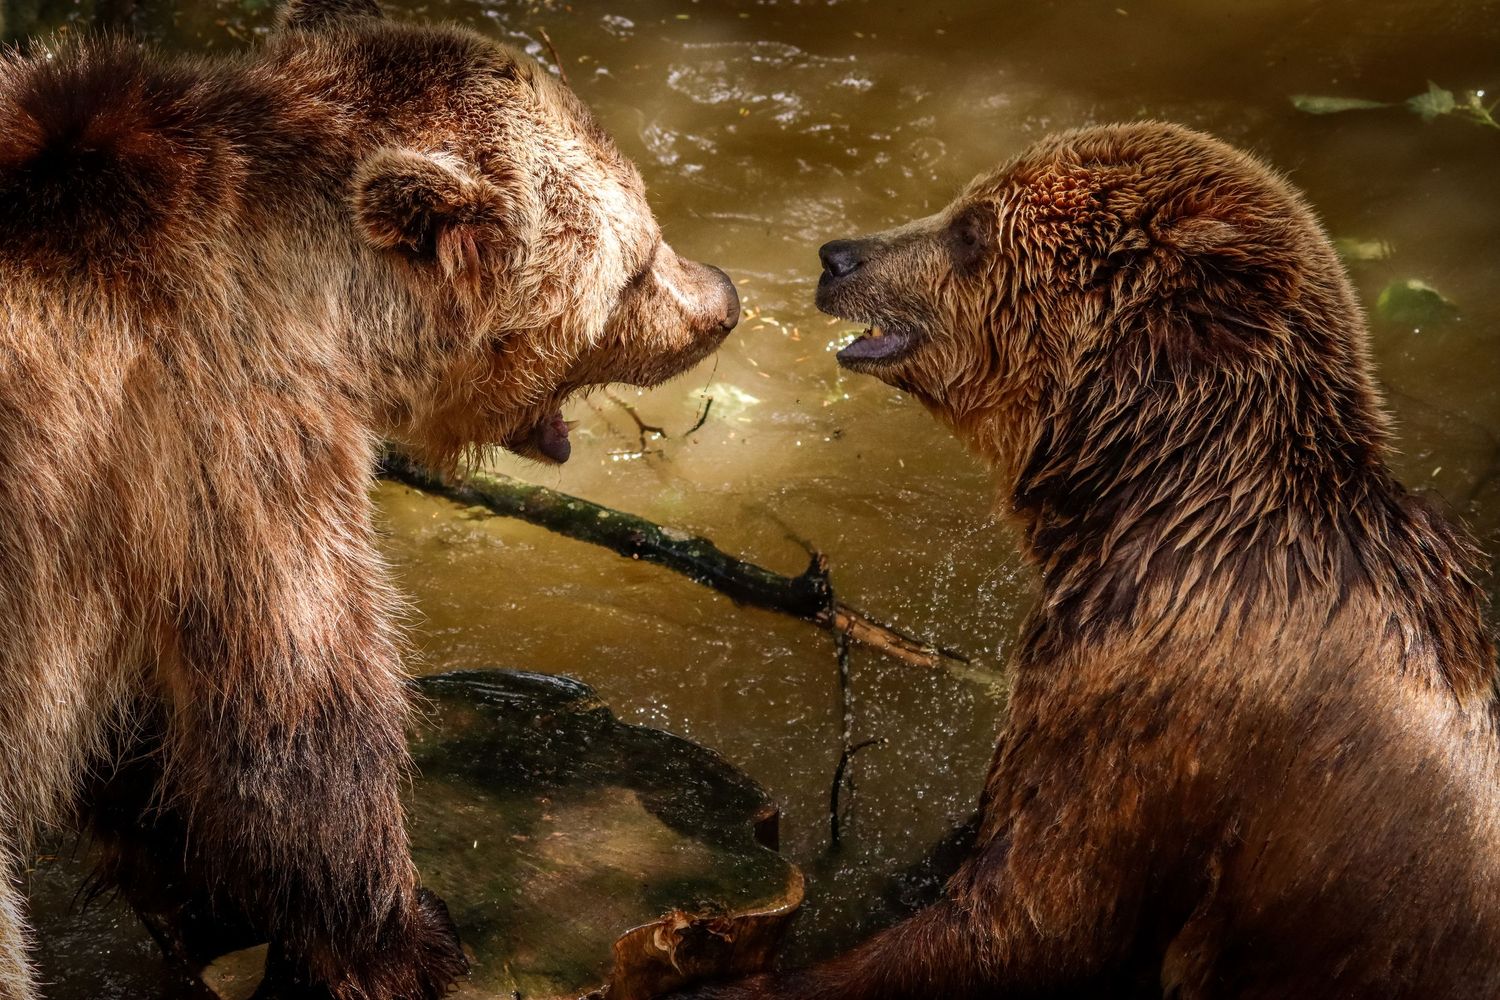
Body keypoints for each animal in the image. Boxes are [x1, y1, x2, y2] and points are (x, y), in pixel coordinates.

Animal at [0, 0, 738, 995]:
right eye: (641, 256)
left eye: (651, 230)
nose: (723, 299)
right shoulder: (227, 438)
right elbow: (298, 721)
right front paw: (409, 939)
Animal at [669, 122, 1500, 998]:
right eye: (965, 205)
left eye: (971, 230)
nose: (837, 256)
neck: (1162, 493)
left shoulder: (1151, 687)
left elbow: (1037, 911)